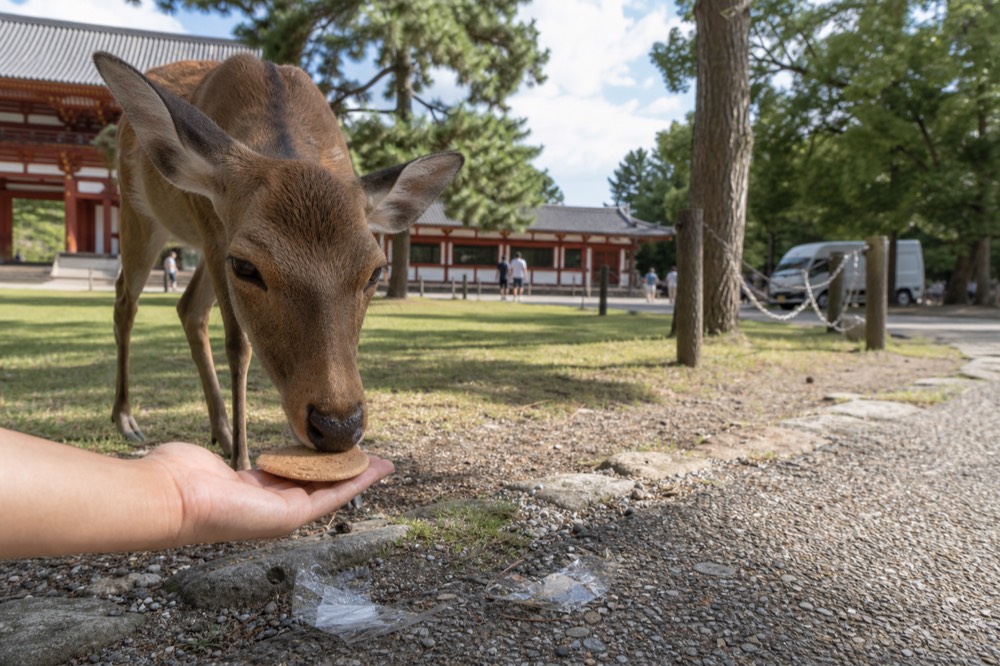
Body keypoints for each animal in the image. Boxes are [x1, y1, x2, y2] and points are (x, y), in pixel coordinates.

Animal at [92, 51, 463, 471]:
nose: (337, 426)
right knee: (125, 300)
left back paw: (221, 433)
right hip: (141, 214)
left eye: (376, 271)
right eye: (245, 266)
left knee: (188, 308)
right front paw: (242, 464)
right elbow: (238, 346)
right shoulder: (215, 232)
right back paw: (127, 420)